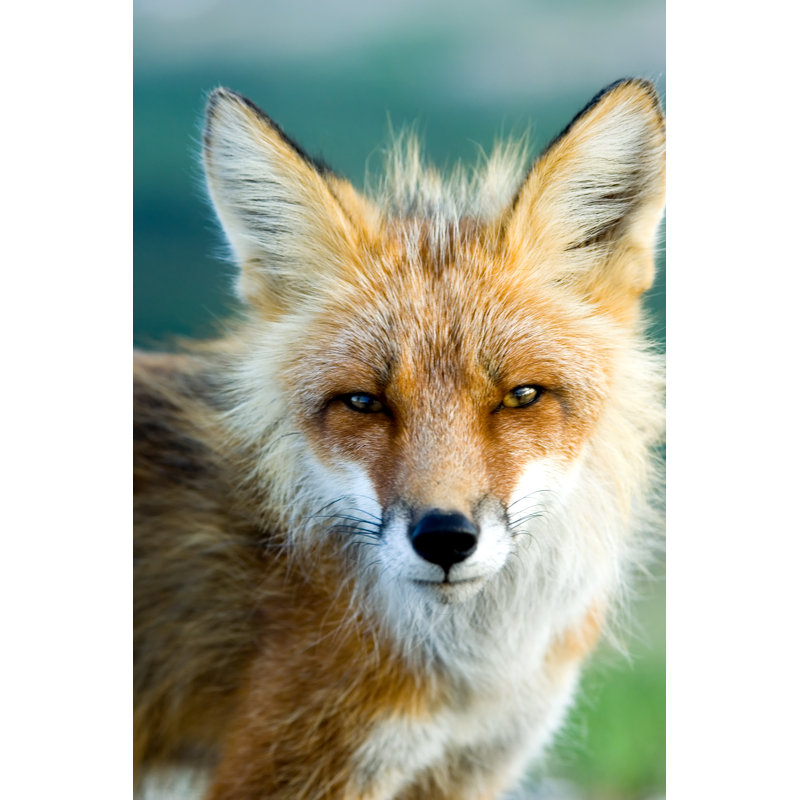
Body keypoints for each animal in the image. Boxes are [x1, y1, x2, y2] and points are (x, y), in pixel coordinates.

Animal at [134, 78, 666, 800]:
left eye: (521, 396)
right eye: (364, 402)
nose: (445, 539)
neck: (466, 681)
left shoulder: (466, 770)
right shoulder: (292, 769)